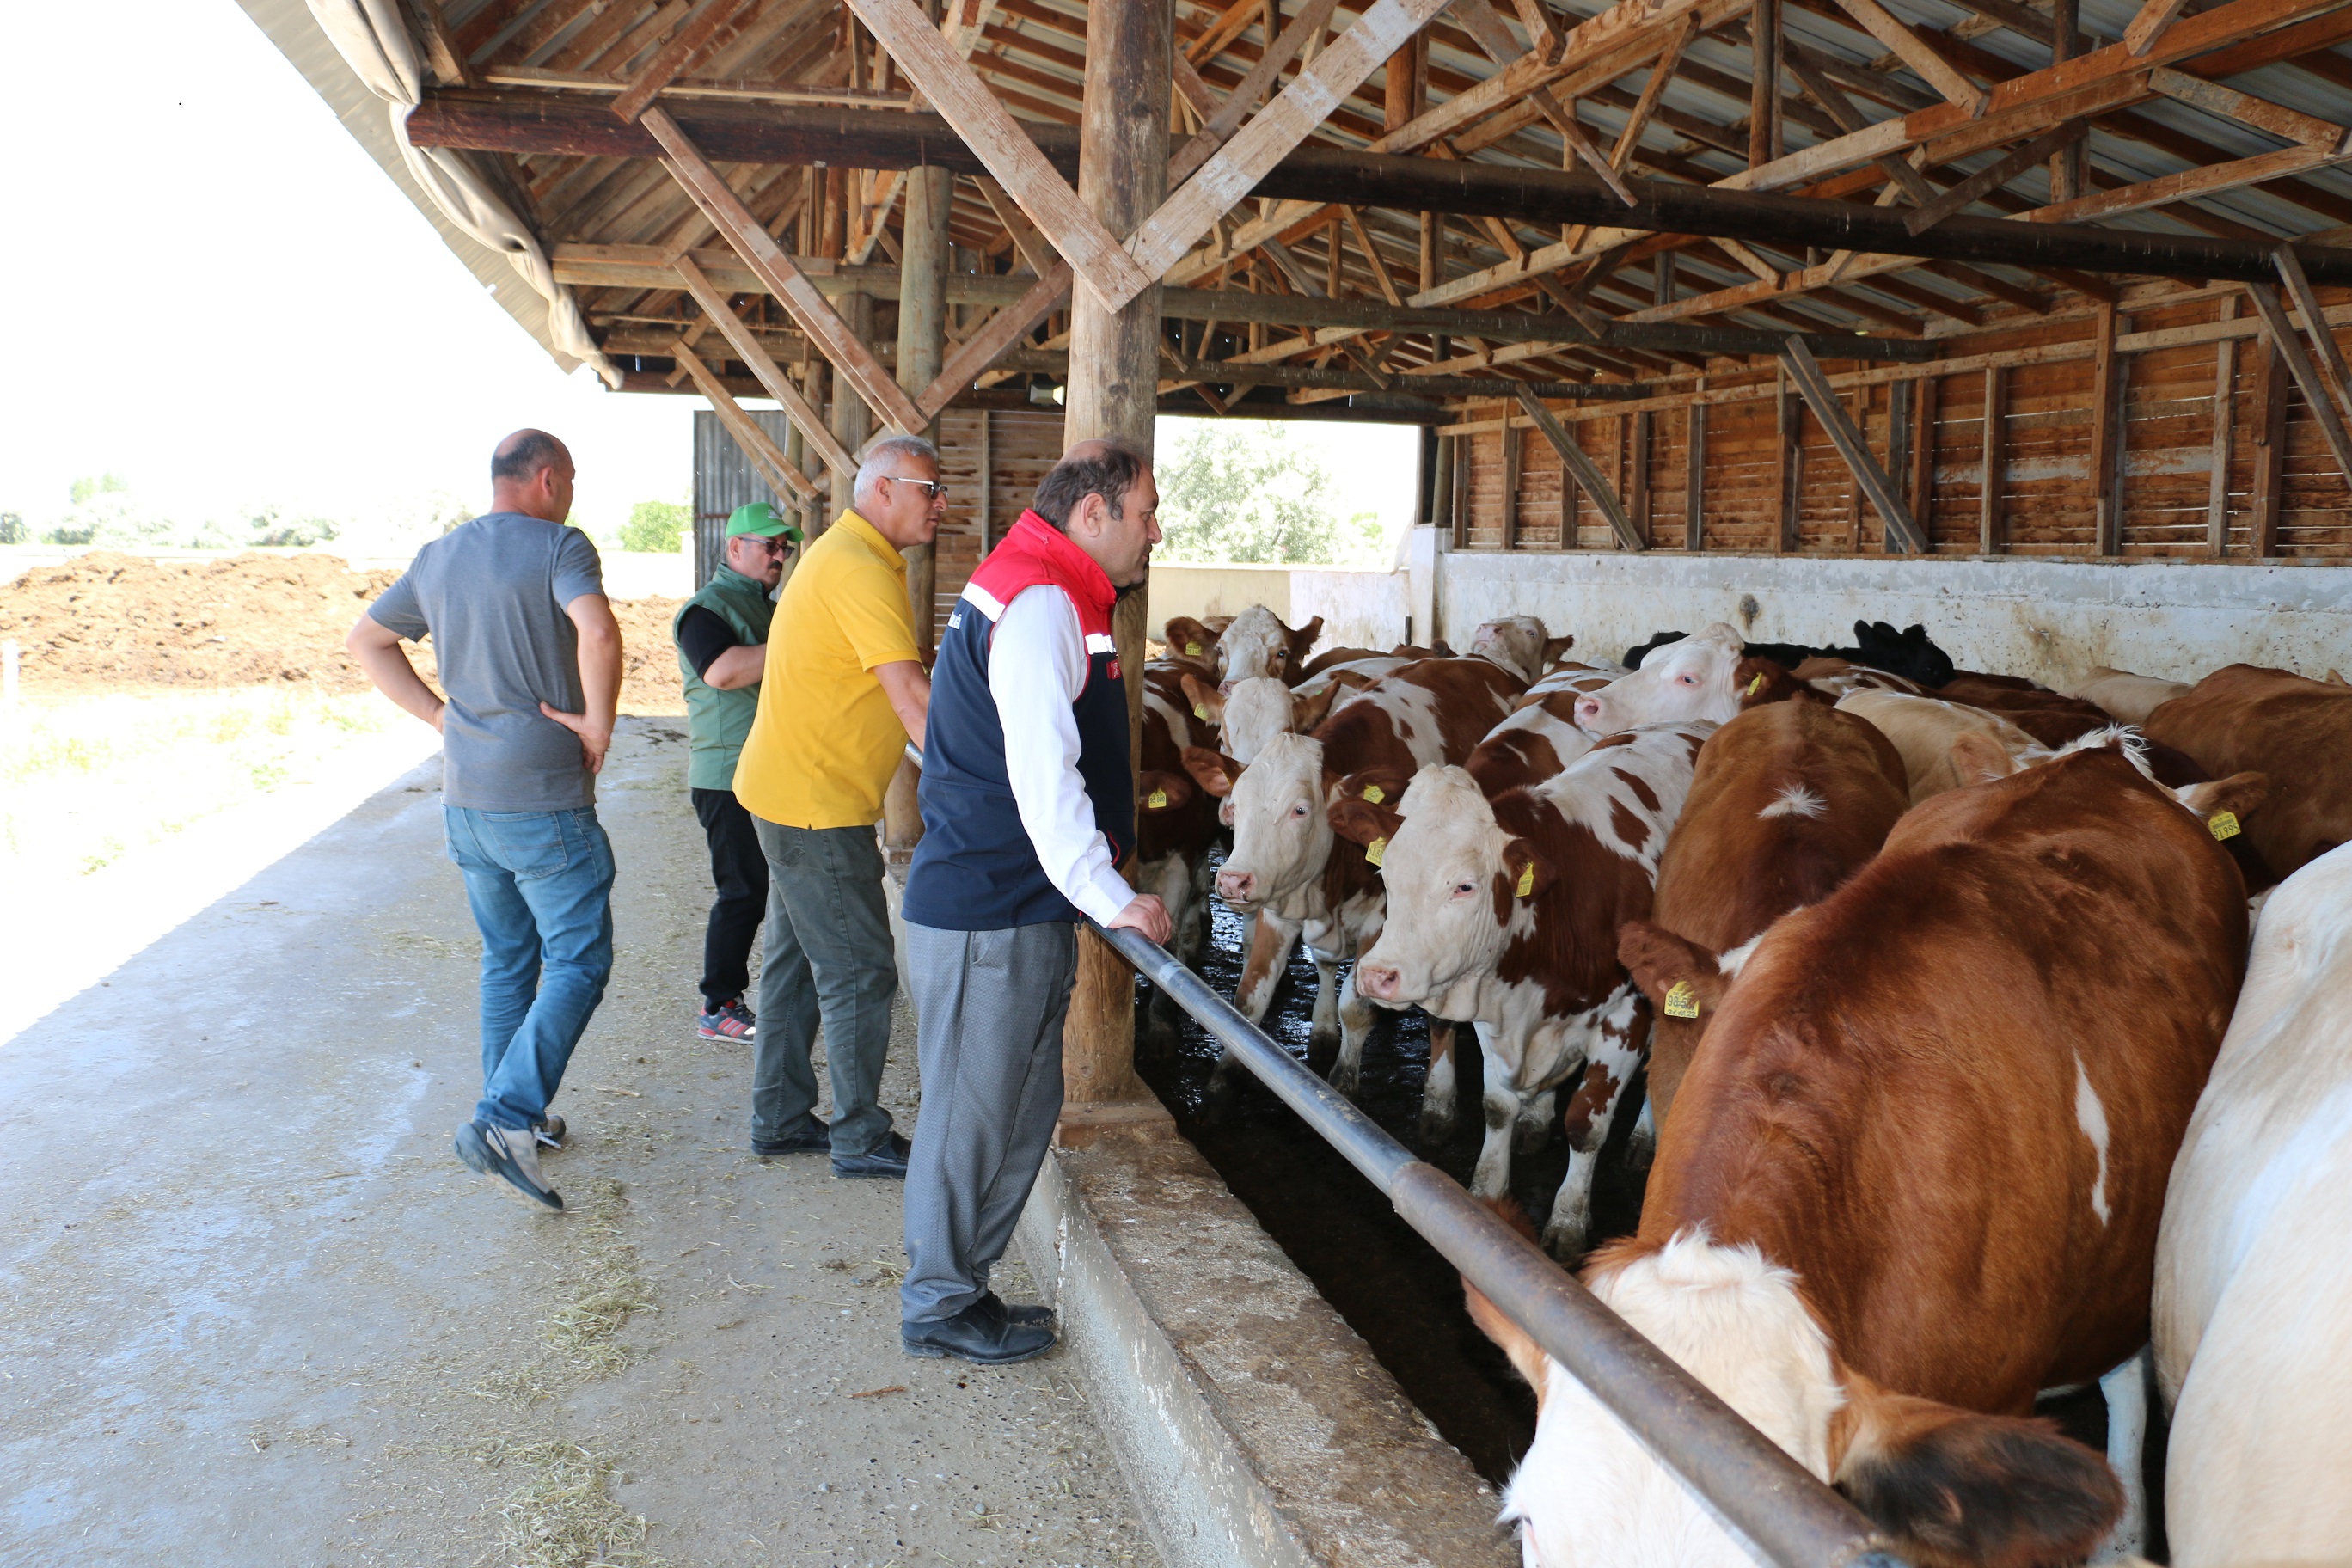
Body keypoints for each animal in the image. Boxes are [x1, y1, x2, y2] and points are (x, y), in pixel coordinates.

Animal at [1176, 658, 1523, 1099]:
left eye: (1301, 810)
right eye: (1239, 801)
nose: (1234, 881)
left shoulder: (1383, 918)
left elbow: (1356, 1010)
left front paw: (1343, 1083)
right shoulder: (1279, 897)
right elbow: (1250, 996)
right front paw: (1222, 1079)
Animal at [1344, 719, 1712, 1250]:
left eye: (1465, 886)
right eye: (1387, 872)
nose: (1377, 974)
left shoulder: (1628, 1014)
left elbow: (1586, 1125)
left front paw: (1568, 1222)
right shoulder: (1495, 1004)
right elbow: (1497, 1107)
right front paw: (1487, 1196)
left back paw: (1645, 1139)